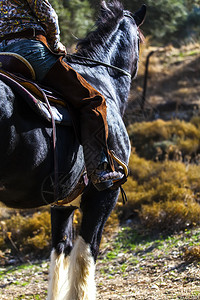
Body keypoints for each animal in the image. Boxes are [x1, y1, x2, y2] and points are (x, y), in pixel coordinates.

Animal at [0, 1, 145, 298]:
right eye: (140, 38)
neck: (103, 79)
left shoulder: (62, 202)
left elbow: (61, 254)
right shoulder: (104, 194)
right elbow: (85, 255)